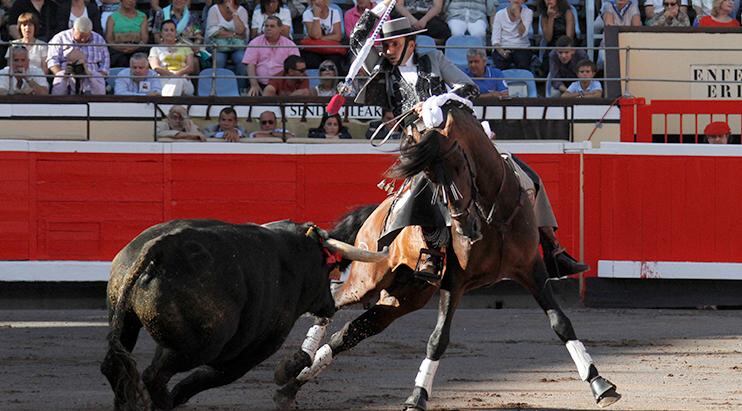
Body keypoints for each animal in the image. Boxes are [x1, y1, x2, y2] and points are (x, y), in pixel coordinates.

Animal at [101, 217, 386, 410]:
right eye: (328, 269)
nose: (329, 305)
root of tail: (162, 248)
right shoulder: (250, 354)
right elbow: (202, 379)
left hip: (126, 321)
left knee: (114, 366)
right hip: (200, 346)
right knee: (155, 376)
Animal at [274, 104, 620, 410]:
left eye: (460, 166)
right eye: (428, 178)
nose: (466, 228)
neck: (493, 212)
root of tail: (375, 213)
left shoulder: (531, 270)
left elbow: (561, 323)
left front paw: (600, 384)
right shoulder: (455, 282)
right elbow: (438, 339)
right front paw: (417, 396)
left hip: (404, 296)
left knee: (350, 332)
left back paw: (289, 387)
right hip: (368, 279)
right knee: (333, 298)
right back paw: (291, 366)